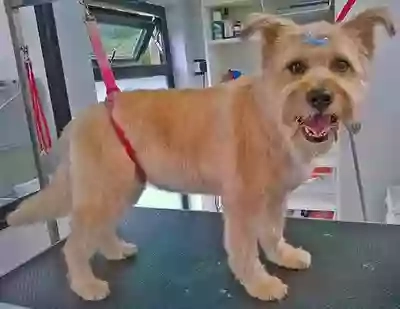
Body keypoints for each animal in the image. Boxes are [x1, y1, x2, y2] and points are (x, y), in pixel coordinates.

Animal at [7, 6, 396, 300]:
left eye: (341, 65)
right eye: (296, 67)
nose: (320, 97)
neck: (271, 115)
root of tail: (83, 117)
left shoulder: (273, 199)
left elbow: (272, 233)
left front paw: (283, 257)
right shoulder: (241, 204)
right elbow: (244, 248)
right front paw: (259, 283)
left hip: (123, 188)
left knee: (99, 230)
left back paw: (115, 251)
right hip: (104, 191)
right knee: (73, 246)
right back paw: (86, 284)